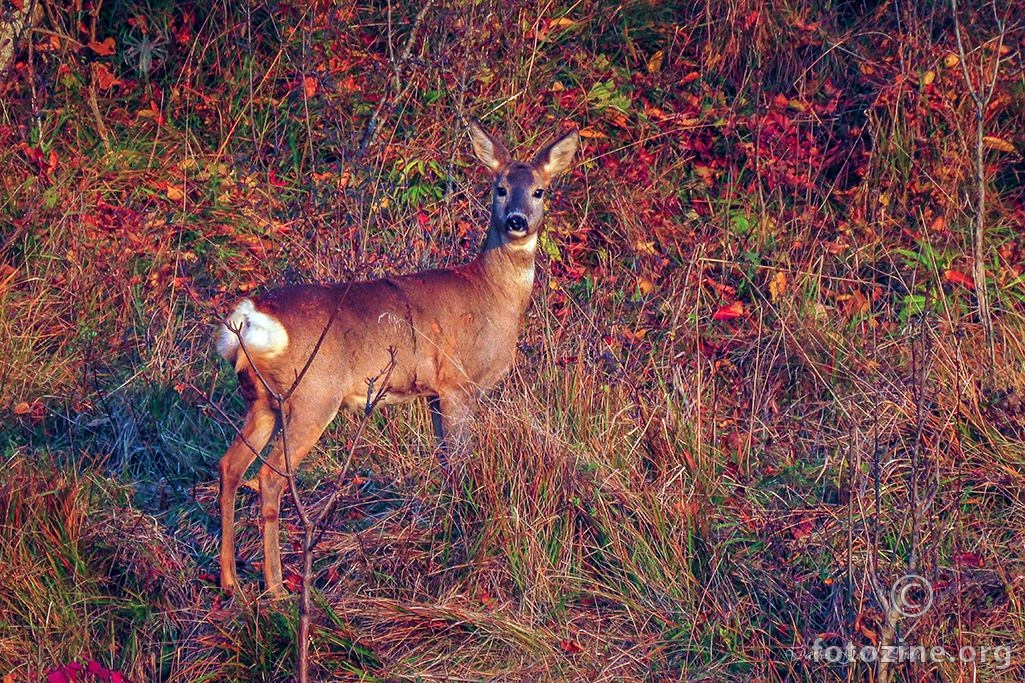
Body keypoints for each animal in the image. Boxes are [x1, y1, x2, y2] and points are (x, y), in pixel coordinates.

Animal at [212, 119, 582, 594]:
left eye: (538, 190)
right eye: (499, 188)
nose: (516, 221)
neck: (493, 295)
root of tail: (249, 318)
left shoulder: (433, 393)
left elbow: (445, 463)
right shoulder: (458, 383)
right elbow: (460, 462)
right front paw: (463, 531)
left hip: (262, 401)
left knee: (230, 467)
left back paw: (230, 581)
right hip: (312, 396)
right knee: (270, 477)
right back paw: (277, 587)